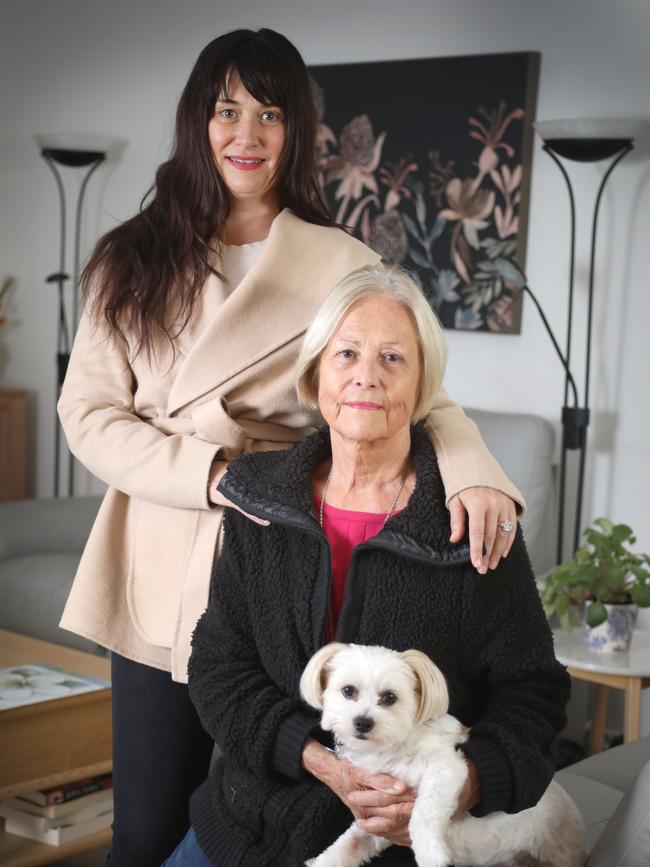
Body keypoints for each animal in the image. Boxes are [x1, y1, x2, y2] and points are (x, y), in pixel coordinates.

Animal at [302, 644, 584, 867]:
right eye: (348, 691)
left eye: (390, 698)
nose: (362, 722)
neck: (391, 749)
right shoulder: (377, 823)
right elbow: (348, 845)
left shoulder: (447, 768)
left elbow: (423, 814)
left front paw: (430, 853)